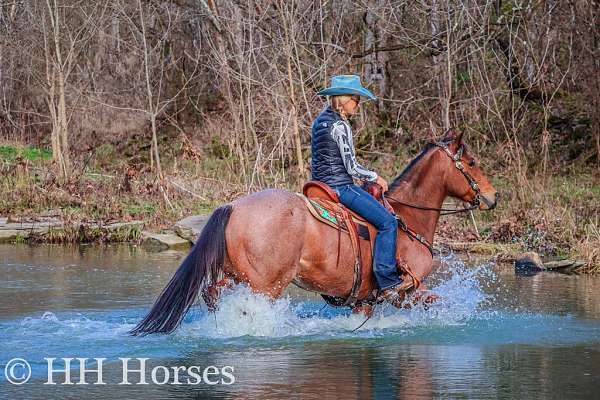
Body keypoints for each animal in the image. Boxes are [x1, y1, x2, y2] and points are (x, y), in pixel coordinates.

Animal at [131, 130, 496, 336]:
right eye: (473, 162)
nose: (494, 197)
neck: (407, 218)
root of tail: (233, 206)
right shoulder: (406, 290)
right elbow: (439, 302)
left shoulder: (365, 301)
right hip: (266, 284)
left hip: (236, 276)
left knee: (212, 294)